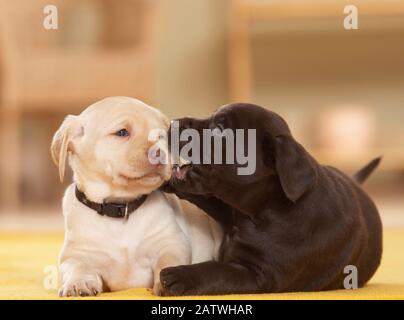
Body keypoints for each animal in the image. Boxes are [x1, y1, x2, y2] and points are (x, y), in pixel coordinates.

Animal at [51, 96, 221, 296]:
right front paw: (77, 283)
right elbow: (77, 266)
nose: (159, 153)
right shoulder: (76, 254)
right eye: (122, 132)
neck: (120, 207)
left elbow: (168, 262)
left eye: (162, 136)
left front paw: (166, 284)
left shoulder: (171, 242)